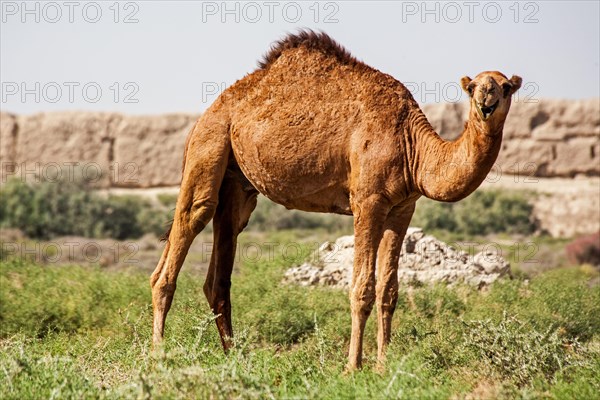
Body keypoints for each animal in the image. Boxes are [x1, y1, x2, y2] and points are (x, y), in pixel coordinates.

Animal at [150, 29, 520, 370]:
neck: (412, 146)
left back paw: (235, 358)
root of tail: (211, 110)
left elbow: (389, 290)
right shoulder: (368, 201)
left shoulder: (403, 208)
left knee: (219, 273)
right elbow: (362, 289)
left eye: (505, 86)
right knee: (182, 236)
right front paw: (353, 367)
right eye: (473, 87)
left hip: (238, 187)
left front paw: (384, 365)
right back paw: (159, 356)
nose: (486, 100)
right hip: (208, 145)